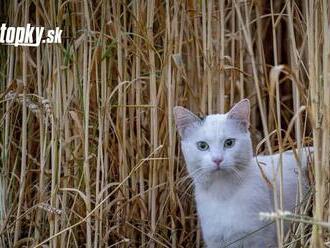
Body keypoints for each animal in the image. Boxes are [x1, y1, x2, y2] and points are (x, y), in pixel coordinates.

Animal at [174, 99, 310, 248]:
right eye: (202, 146)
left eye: (229, 143)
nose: (217, 159)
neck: (222, 193)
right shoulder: (215, 241)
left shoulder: (261, 240)